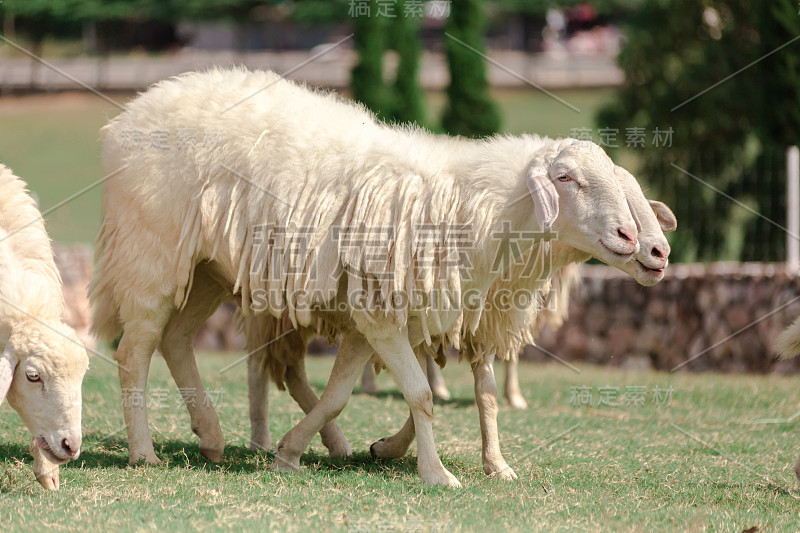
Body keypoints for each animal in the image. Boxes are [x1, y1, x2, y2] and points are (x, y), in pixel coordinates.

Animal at [87, 65, 640, 482]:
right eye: (565, 178)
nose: (634, 240)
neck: (460, 203)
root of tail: (129, 115)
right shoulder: (380, 313)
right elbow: (419, 393)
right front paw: (437, 475)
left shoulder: (373, 317)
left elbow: (338, 394)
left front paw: (293, 451)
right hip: (150, 254)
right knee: (134, 353)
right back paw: (144, 452)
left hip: (207, 269)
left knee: (176, 339)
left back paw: (211, 436)